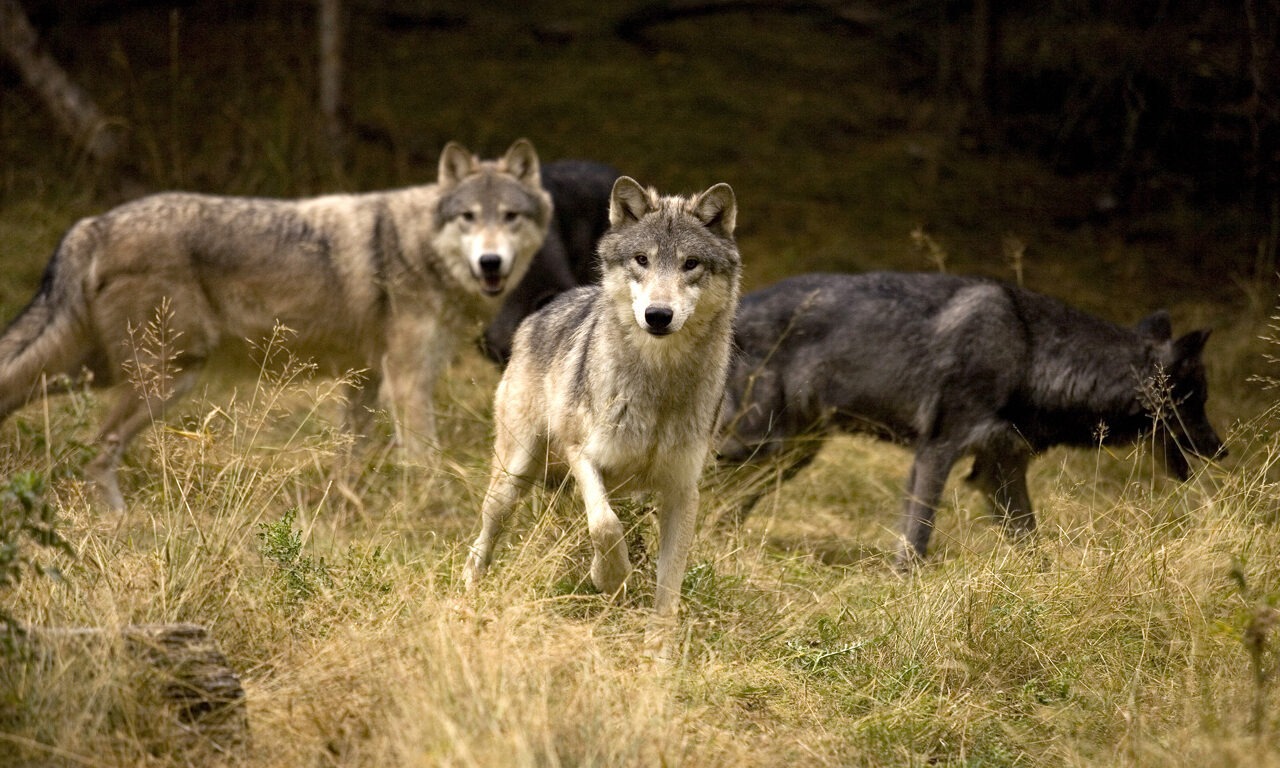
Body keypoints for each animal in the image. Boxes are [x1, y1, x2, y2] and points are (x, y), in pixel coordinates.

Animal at [0, 138, 552, 509]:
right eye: (468, 217)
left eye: (510, 217)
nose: (490, 263)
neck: (413, 247)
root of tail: (92, 224)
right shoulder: (408, 382)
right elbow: (425, 460)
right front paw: (434, 511)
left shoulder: (368, 382)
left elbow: (348, 460)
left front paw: (344, 513)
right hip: (161, 378)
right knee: (99, 448)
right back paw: (119, 521)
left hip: (101, 372)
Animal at [721, 272, 1228, 565]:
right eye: (1196, 401)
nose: (1223, 450)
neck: (1030, 354)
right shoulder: (937, 452)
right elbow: (917, 538)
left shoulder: (999, 469)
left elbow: (1032, 545)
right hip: (756, 446)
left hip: (787, 456)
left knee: (727, 505)